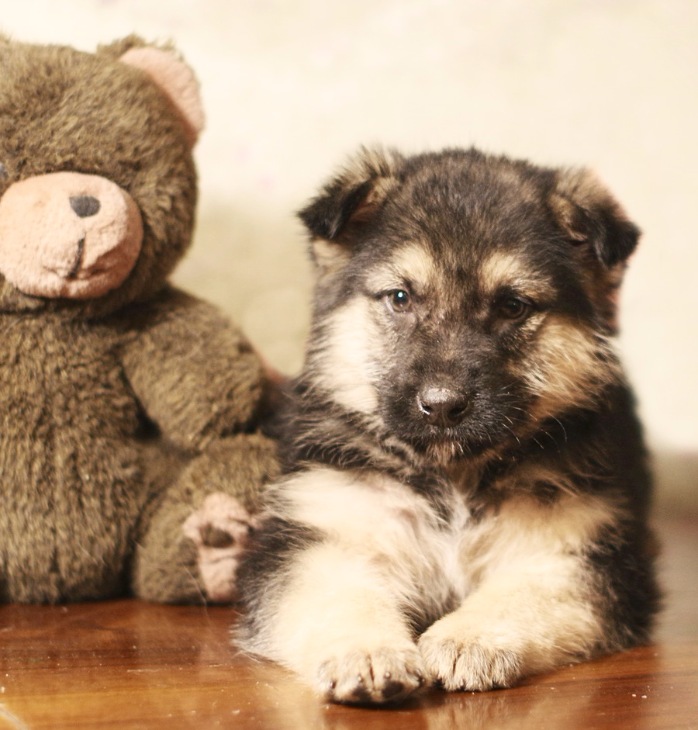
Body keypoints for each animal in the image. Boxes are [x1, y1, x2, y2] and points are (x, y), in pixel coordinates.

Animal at [234, 147, 661, 705]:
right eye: (399, 298)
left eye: (512, 305)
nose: (441, 406)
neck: (453, 477)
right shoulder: (318, 540)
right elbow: (341, 595)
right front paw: (367, 653)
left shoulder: (583, 556)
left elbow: (521, 593)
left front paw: (469, 637)